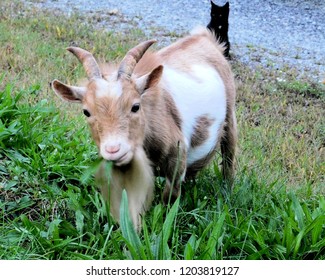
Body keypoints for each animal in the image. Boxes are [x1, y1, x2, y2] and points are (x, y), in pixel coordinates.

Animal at [52, 27, 237, 231]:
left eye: (135, 106)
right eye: (86, 112)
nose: (113, 149)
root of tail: (204, 37)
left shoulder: (177, 155)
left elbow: (170, 197)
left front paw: (165, 222)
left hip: (230, 112)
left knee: (229, 153)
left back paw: (227, 190)